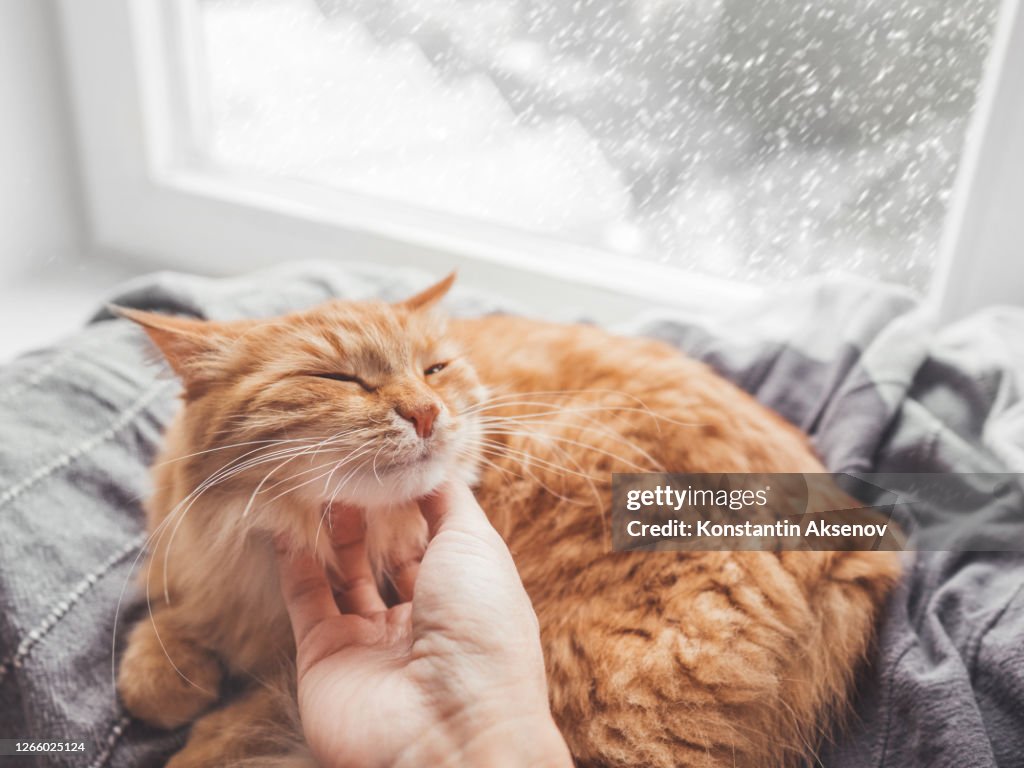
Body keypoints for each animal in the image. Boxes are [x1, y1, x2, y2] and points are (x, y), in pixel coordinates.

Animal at [117, 274, 897, 765]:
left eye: (433, 369)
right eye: (337, 378)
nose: (425, 412)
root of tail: (852, 541)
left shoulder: (291, 671)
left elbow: (245, 718)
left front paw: (200, 735)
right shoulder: (201, 574)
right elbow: (156, 658)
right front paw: (172, 673)